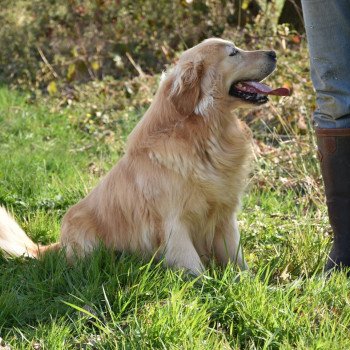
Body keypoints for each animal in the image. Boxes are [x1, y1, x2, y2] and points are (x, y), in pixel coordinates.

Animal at [0, 37, 288, 274]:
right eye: (233, 53)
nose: (274, 52)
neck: (203, 133)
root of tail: (53, 245)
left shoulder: (225, 217)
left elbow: (238, 261)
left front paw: (249, 284)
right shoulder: (174, 224)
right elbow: (196, 269)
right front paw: (210, 290)